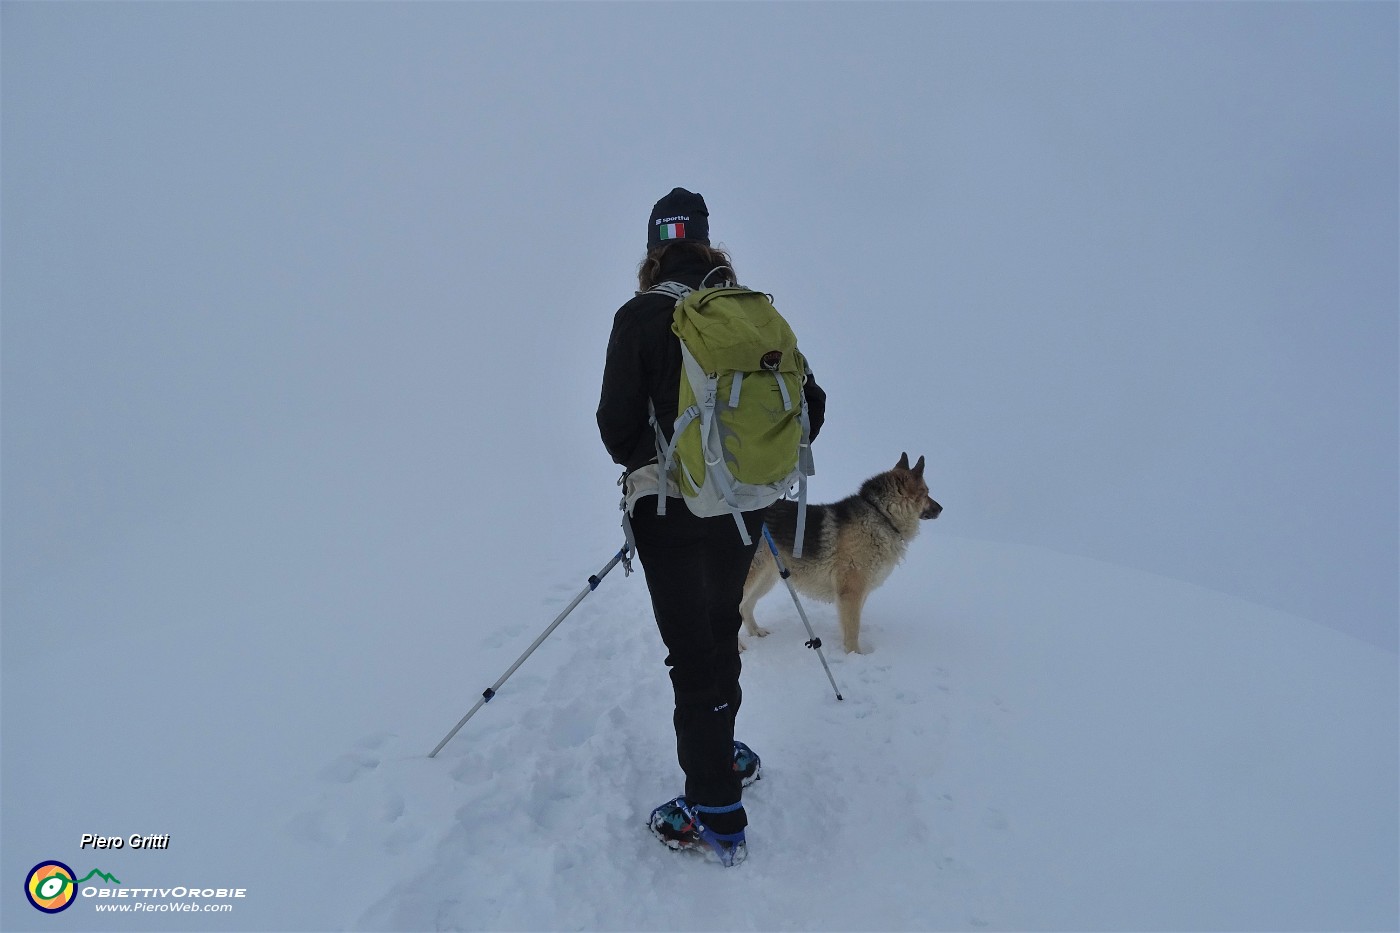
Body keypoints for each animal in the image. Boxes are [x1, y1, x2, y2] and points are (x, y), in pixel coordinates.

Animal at [744, 453, 940, 650]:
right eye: (926, 493)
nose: (941, 508)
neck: (881, 514)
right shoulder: (851, 593)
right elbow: (853, 630)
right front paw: (855, 654)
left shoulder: (861, 593)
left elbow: (851, 627)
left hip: (767, 578)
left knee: (744, 607)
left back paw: (756, 632)